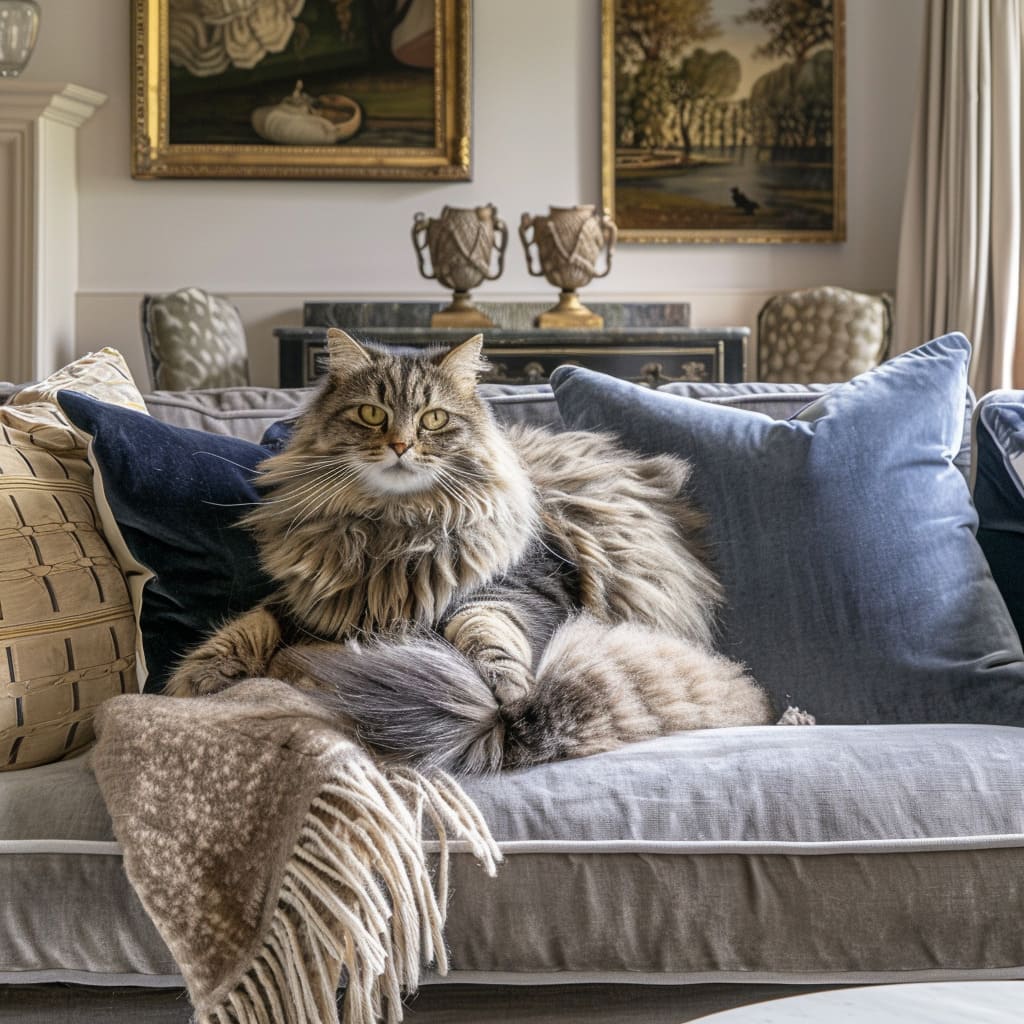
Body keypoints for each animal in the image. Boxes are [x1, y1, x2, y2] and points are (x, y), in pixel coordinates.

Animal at [169, 331, 774, 770]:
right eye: (372, 414)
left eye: (433, 418)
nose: (400, 445)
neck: (395, 533)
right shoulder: (312, 604)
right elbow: (251, 624)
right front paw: (200, 679)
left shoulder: (522, 589)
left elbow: (484, 629)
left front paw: (507, 689)